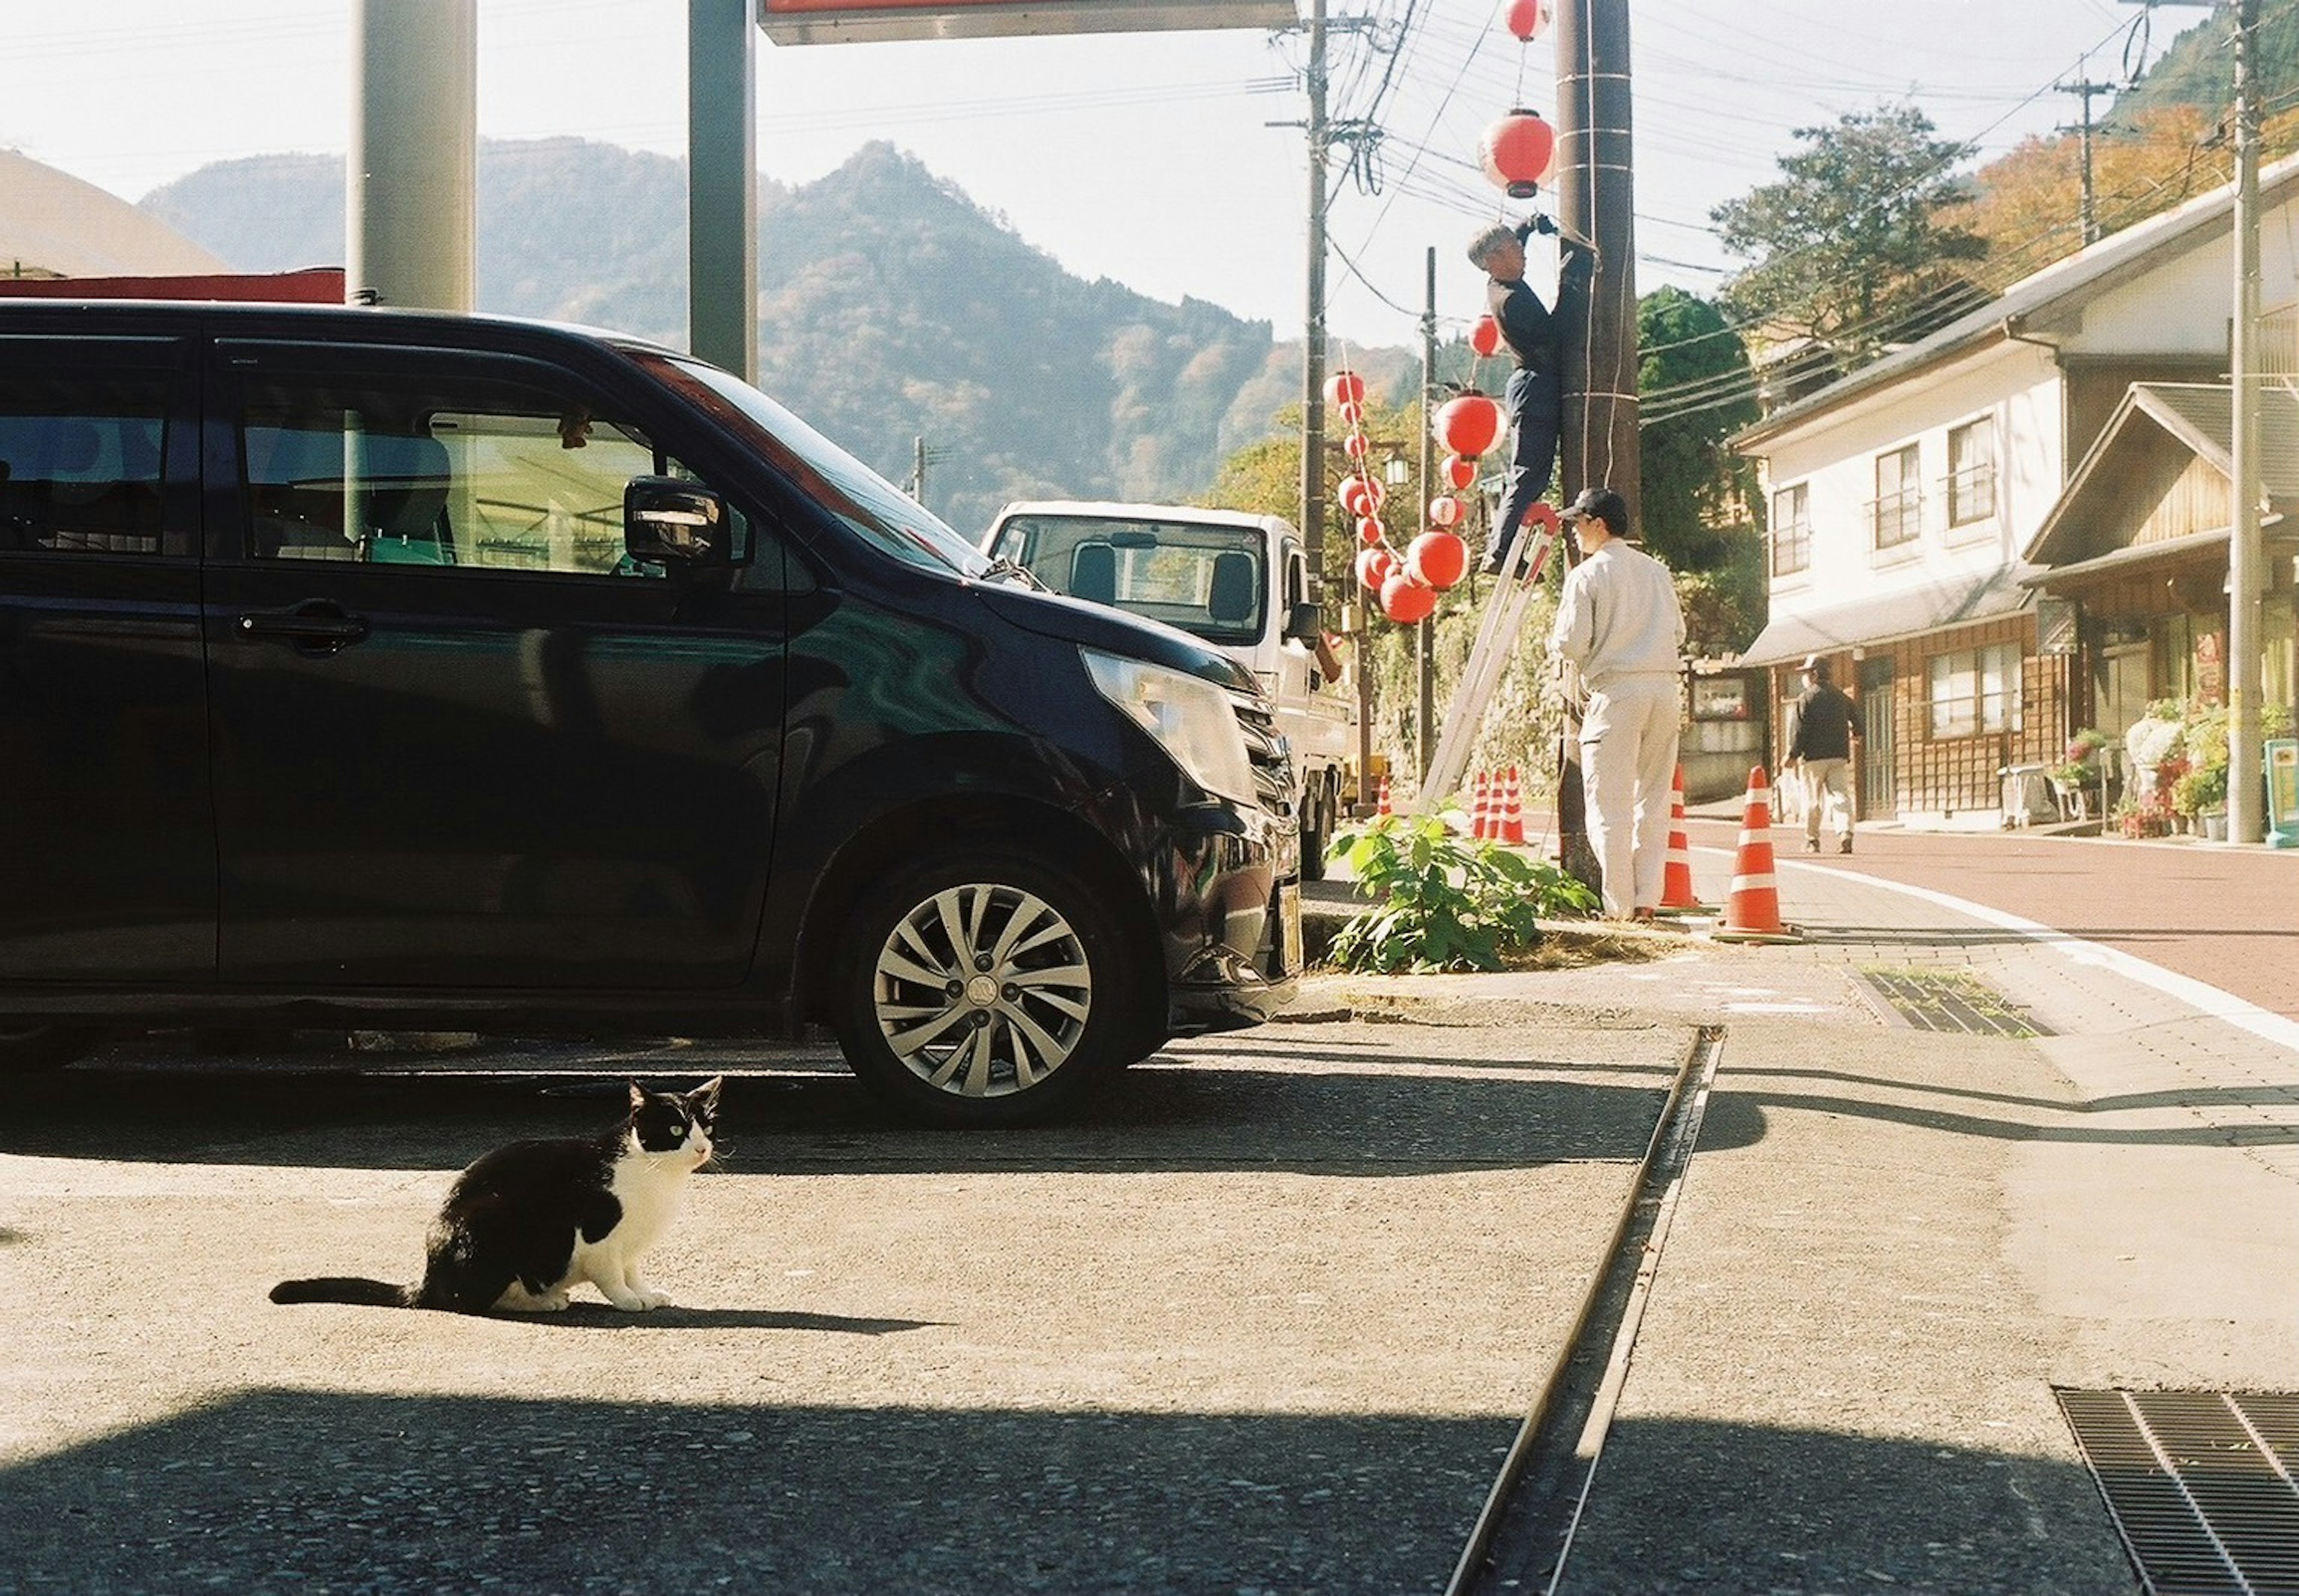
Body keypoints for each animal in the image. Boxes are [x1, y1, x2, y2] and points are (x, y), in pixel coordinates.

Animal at [271, 1081, 717, 1315]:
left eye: (707, 1128)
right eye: (676, 1131)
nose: (702, 1149)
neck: (657, 1176)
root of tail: (430, 1278)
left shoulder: (631, 1246)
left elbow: (632, 1271)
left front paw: (645, 1294)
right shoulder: (599, 1237)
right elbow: (611, 1275)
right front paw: (627, 1301)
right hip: (491, 1219)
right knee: (474, 1301)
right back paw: (543, 1300)